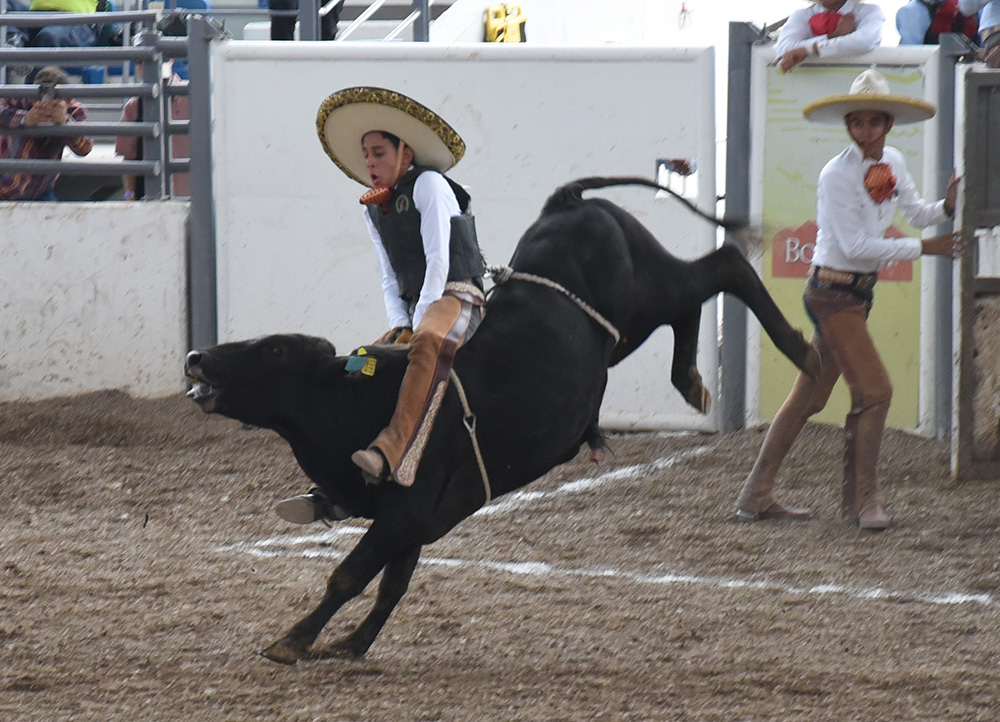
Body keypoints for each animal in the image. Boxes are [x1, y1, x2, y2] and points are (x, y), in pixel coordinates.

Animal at [184, 176, 816, 664]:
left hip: (645, 296)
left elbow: (351, 574)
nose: (197, 357)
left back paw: (800, 351)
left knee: (721, 267)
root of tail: (566, 202)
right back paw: (691, 379)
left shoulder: (405, 509)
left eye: (274, 351)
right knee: (697, 293)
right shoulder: (420, 518)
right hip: (629, 327)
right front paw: (351, 644)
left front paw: (293, 641)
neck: (366, 401)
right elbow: (392, 583)